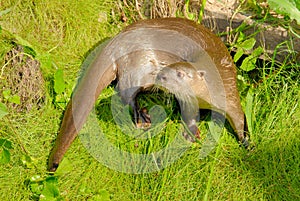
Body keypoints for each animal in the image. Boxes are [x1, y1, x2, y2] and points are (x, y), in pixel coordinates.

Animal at [47, 17, 248, 172]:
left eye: (180, 74)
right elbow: (190, 115)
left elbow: (239, 116)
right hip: (138, 65)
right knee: (125, 92)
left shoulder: (230, 91)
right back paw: (142, 117)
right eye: (166, 67)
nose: (160, 75)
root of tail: (115, 42)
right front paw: (191, 133)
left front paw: (246, 143)